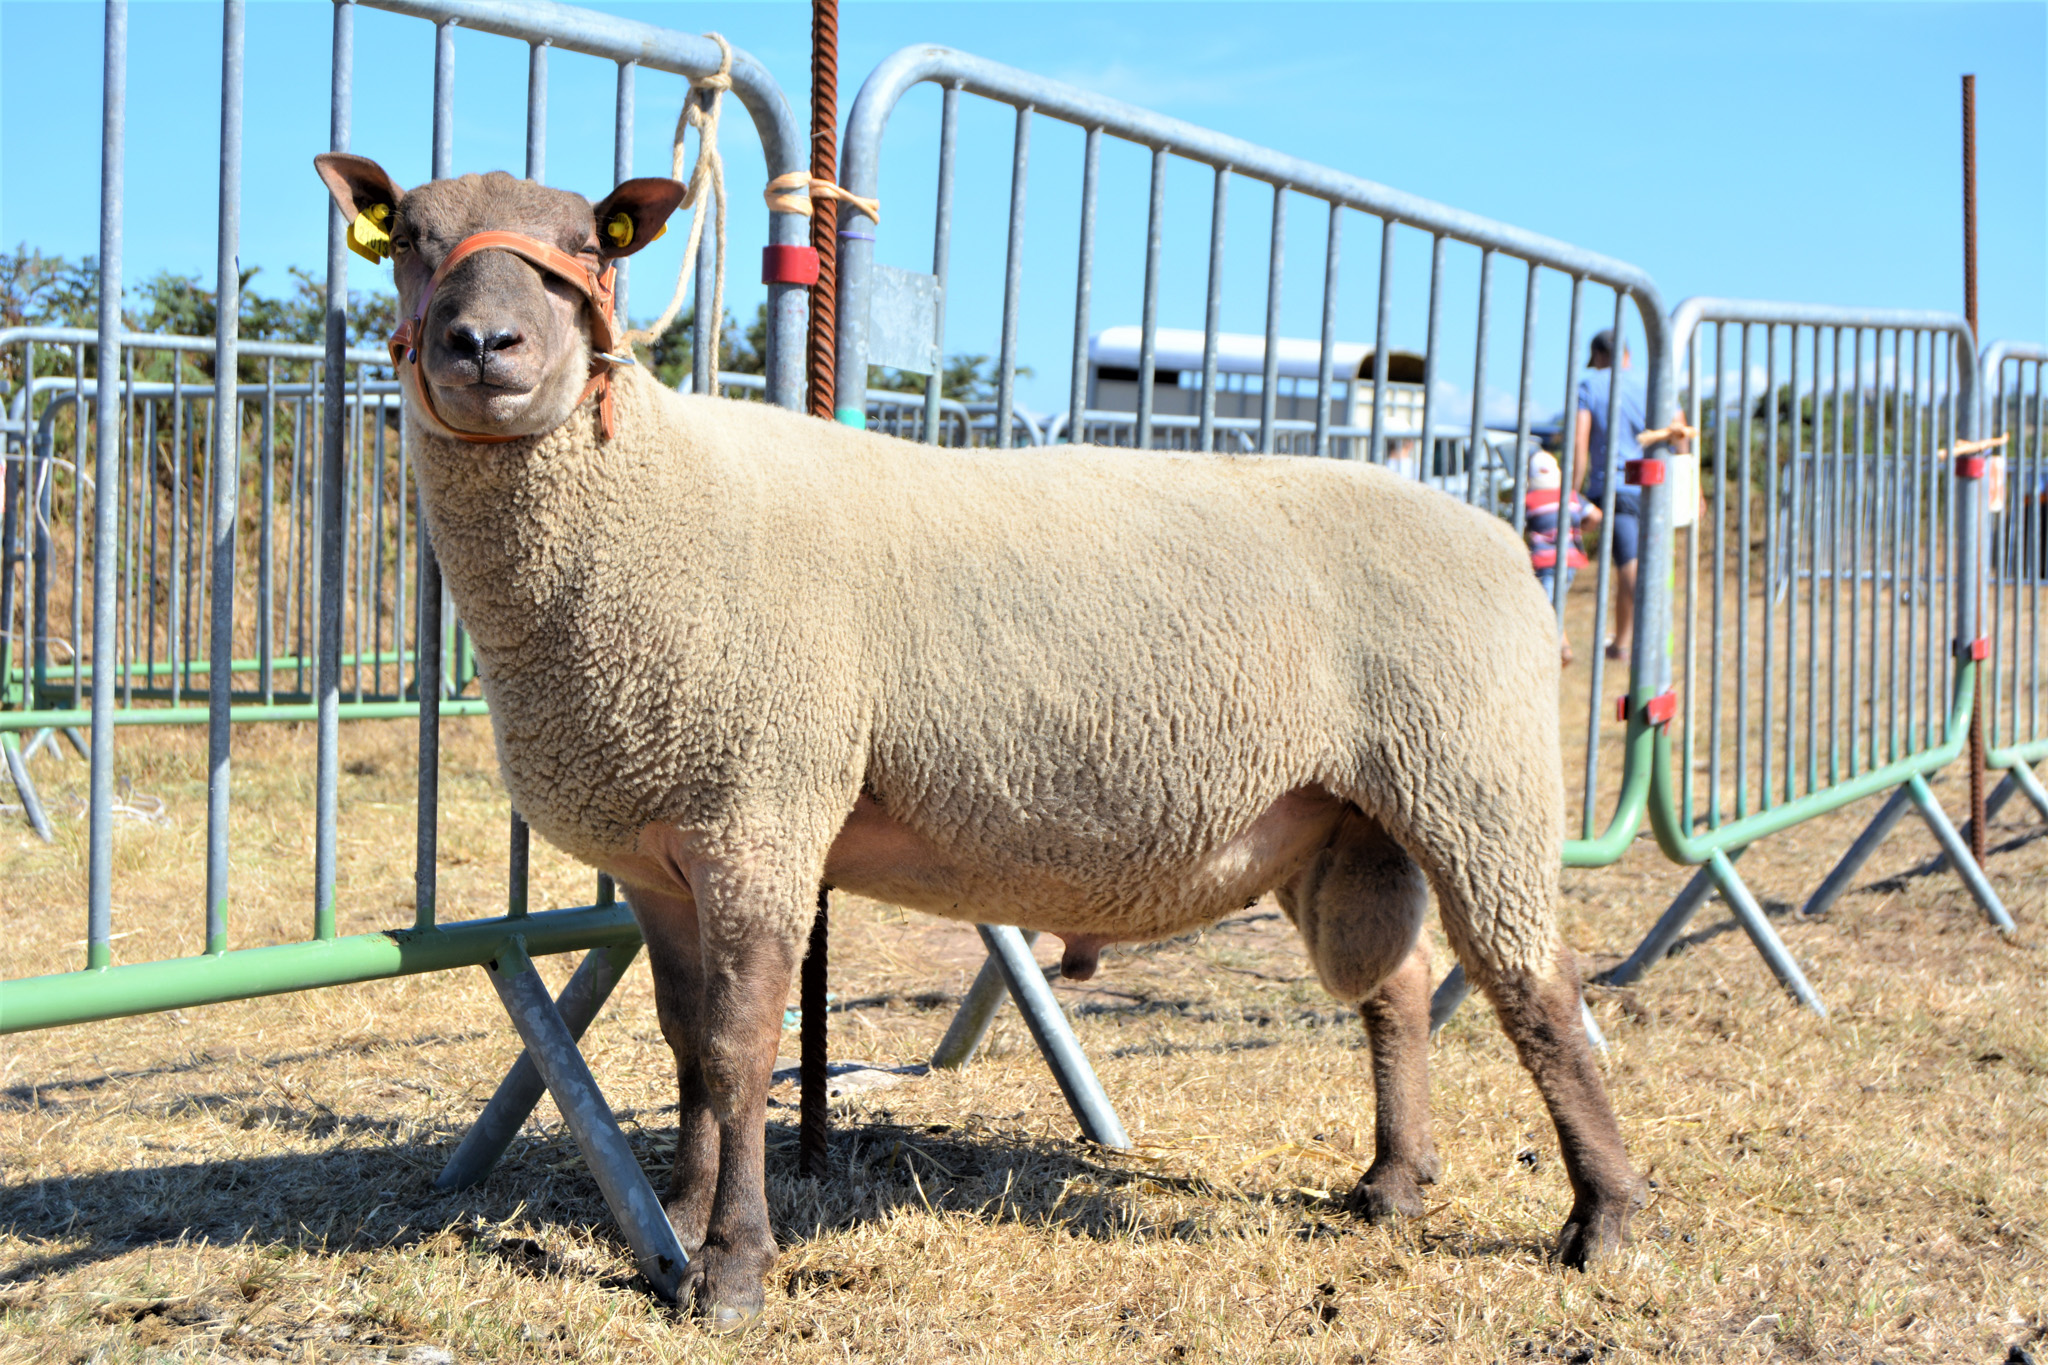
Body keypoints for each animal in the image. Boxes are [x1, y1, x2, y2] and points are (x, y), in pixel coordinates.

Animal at [315, 154, 1646, 1326]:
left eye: (591, 244)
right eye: (413, 241)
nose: (483, 347)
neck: (646, 496)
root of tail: (1493, 536)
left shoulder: (761, 808)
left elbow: (742, 1052)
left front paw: (733, 1270)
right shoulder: (660, 855)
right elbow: (687, 1048)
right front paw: (679, 1223)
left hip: (1471, 776)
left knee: (1536, 988)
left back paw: (1604, 1220)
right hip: (1344, 818)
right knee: (1398, 990)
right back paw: (1392, 1184)